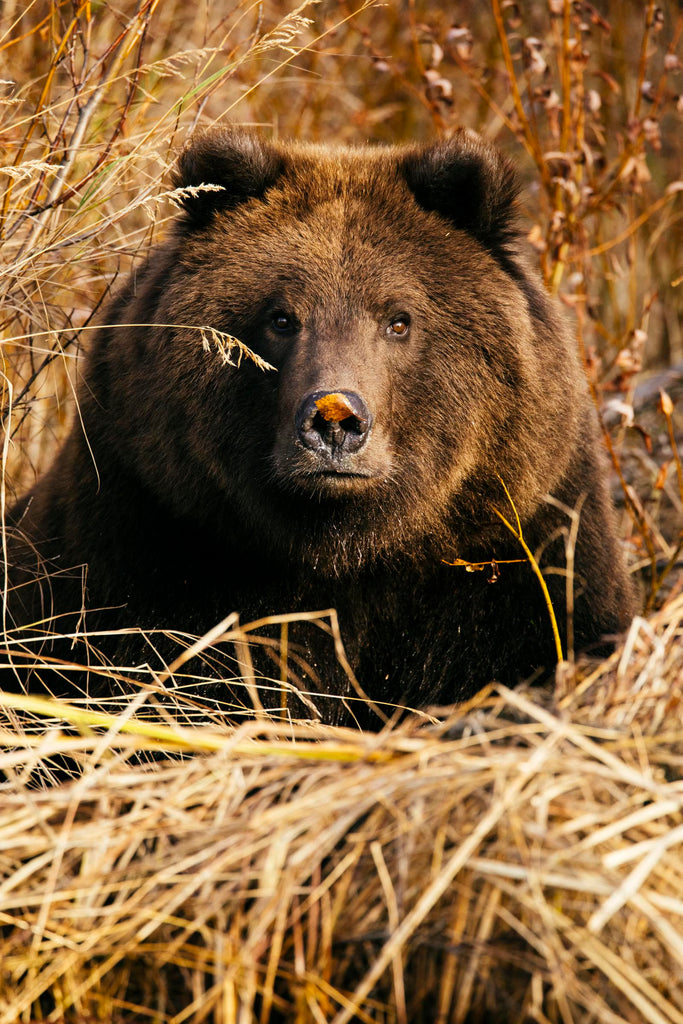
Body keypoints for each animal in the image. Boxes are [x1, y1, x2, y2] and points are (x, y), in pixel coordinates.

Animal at [3, 125, 634, 720]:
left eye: (398, 319)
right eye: (281, 318)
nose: (334, 422)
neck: (344, 551)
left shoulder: (516, 557)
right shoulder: (148, 545)